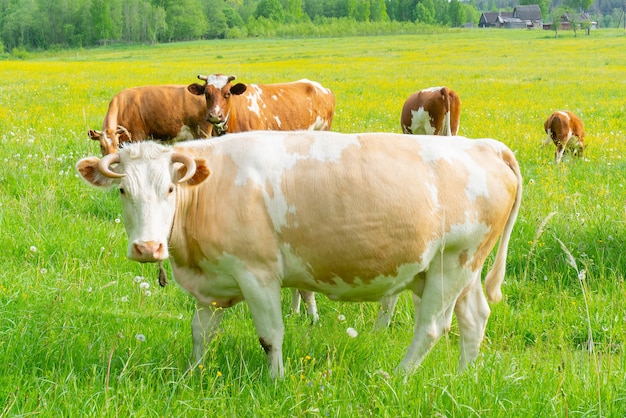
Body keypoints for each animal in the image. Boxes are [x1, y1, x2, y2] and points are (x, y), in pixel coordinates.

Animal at [75, 131, 520, 378]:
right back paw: (463, 378)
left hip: (452, 263)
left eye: (170, 189)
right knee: (474, 319)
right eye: (122, 190)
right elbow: (201, 333)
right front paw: (191, 375)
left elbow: (270, 336)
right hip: (461, 269)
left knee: (431, 327)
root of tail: (486, 146)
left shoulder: (258, 274)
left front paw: (275, 381)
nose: (147, 248)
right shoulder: (212, 283)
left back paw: (398, 378)